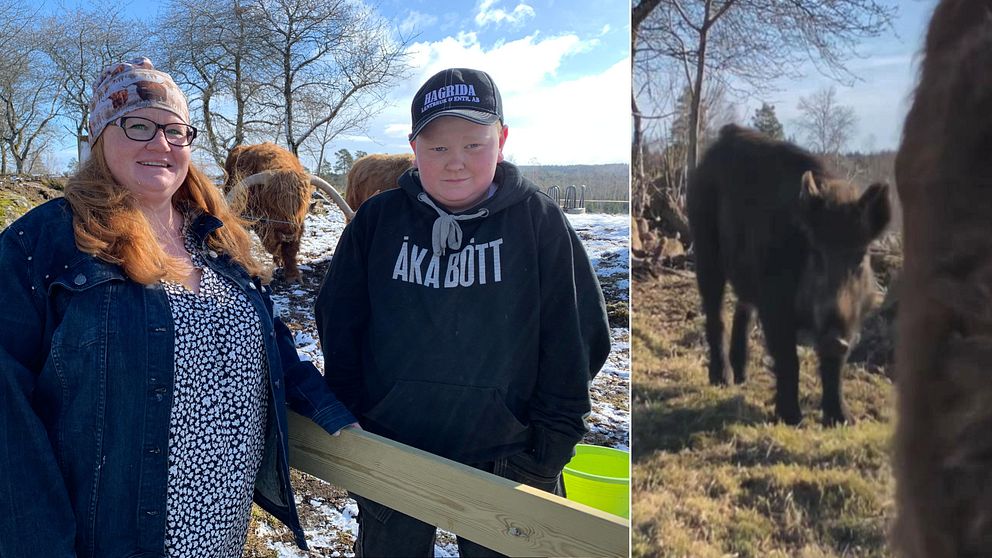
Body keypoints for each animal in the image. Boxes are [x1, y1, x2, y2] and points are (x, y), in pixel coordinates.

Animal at [223, 143, 312, 282]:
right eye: (272, 205)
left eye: (300, 206)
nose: (287, 234)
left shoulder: (298, 226)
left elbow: (290, 250)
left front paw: (293, 276)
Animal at [688, 124, 892, 426]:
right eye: (816, 253)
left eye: (860, 257)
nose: (834, 338)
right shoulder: (775, 302)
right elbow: (788, 358)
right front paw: (792, 419)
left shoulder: (852, 319)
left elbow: (834, 366)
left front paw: (842, 420)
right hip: (703, 243)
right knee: (716, 312)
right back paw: (722, 380)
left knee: (743, 310)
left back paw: (742, 378)